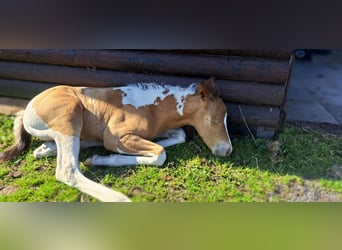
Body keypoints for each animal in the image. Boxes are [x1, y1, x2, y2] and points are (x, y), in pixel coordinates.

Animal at [0, 78, 232, 201]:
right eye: (213, 120)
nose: (227, 150)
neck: (153, 108)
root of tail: (28, 107)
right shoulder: (115, 136)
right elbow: (159, 154)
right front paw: (102, 159)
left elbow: (178, 136)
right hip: (69, 114)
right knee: (68, 170)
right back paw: (117, 197)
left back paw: (46, 149)